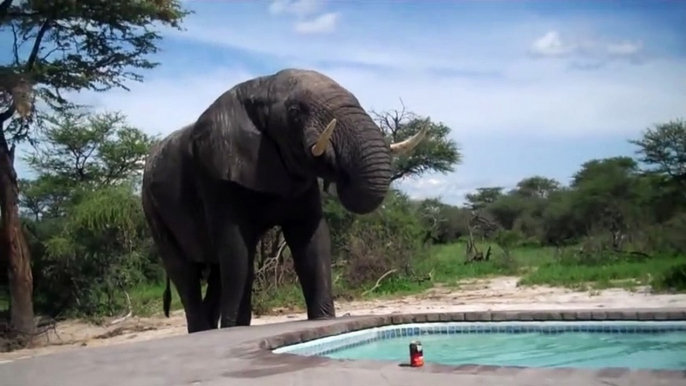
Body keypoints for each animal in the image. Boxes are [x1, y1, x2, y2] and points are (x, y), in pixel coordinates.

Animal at [142, 68, 428, 334]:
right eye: (295, 111)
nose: (337, 168)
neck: (258, 86)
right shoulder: (216, 177)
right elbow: (236, 249)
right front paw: (234, 329)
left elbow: (311, 239)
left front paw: (323, 320)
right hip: (152, 209)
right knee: (184, 272)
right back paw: (204, 331)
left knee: (215, 275)